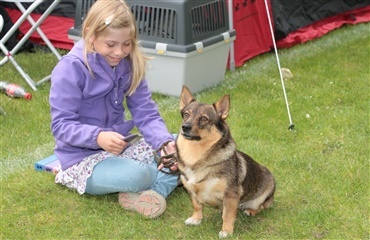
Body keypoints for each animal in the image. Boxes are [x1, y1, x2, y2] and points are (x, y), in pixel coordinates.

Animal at [177, 86, 278, 238]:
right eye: (186, 114)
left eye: (204, 118)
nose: (185, 127)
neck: (197, 154)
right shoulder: (191, 190)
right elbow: (197, 205)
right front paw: (196, 219)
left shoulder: (231, 194)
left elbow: (228, 215)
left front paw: (226, 231)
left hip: (266, 191)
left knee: (261, 206)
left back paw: (251, 210)